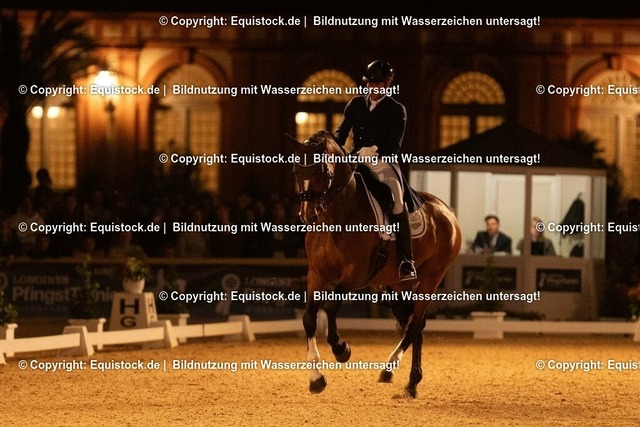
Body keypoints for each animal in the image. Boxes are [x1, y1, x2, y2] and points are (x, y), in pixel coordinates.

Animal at [287, 130, 461, 398]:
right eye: (296, 169)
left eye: (321, 171)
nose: (307, 216)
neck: (337, 217)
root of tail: (448, 212)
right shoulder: (316, 275)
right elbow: (309, 318)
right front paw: (316, 378)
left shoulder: (355, 276)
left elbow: (331, 307)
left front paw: (341, 349)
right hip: (400, 285)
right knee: (414, 324)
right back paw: (399, 375)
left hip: (431, 278)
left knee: (415, 324)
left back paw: (405, 377)